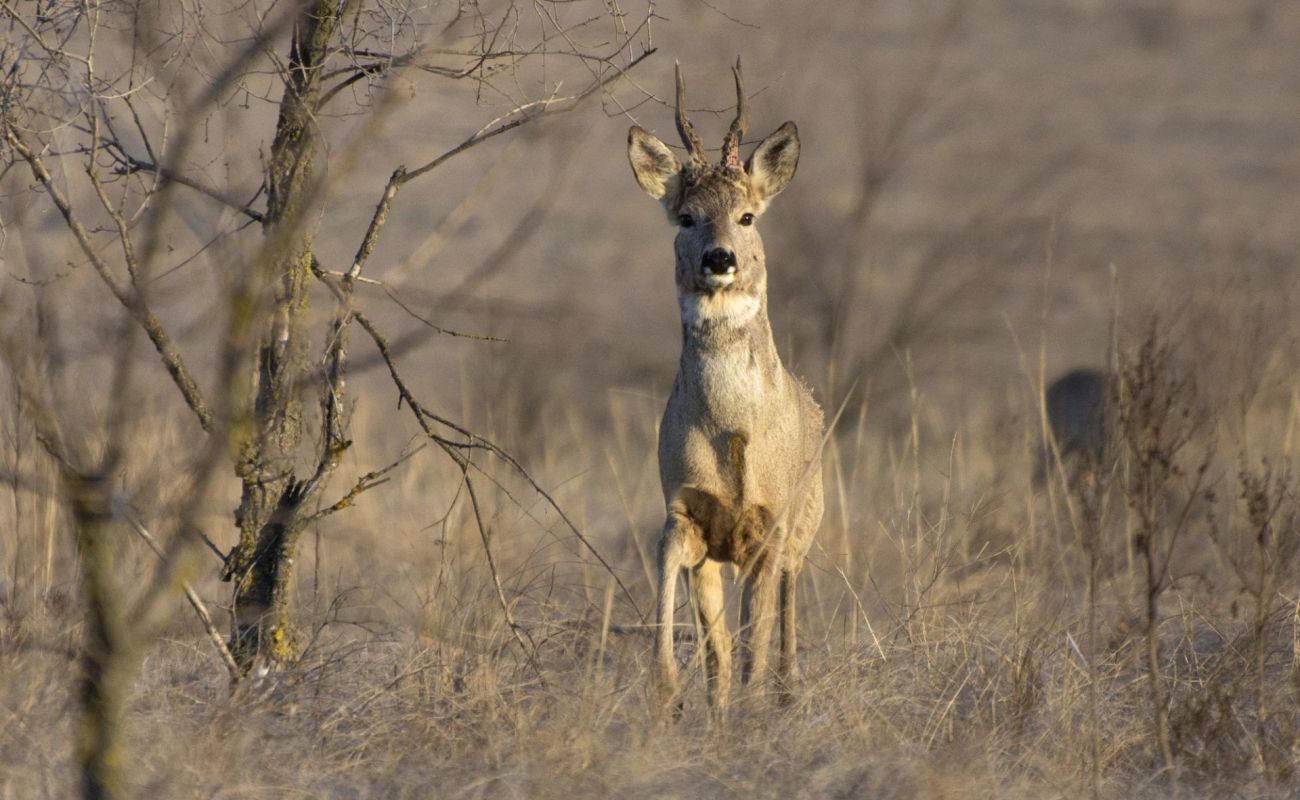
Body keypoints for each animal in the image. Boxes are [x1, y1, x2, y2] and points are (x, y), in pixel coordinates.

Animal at [626, 60, 824, 715]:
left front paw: (753, 710)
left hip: (807, 521)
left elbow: (751, 649)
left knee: (785, 614)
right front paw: (668, 688)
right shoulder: (685, 510)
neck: (735, 432)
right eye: (687, 217)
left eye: (747, 216)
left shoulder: (770, 524)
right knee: (721, 649)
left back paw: (786, 691)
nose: (719, 258)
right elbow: (710, 643)